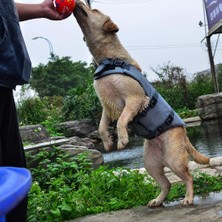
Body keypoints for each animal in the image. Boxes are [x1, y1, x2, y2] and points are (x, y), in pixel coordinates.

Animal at [74, 0, 210, 207]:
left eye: (94, 9)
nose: (79, 2)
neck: (108, 59)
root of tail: (184, 135)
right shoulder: (107, 106)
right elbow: (101, 126)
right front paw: (107, 141)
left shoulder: (133, 99)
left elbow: (121, 120)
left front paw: (122, 139)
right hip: (150, 164)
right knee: (166, 183)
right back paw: (158, 200)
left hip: (174, 159)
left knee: (188, 177)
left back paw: (187, 197)